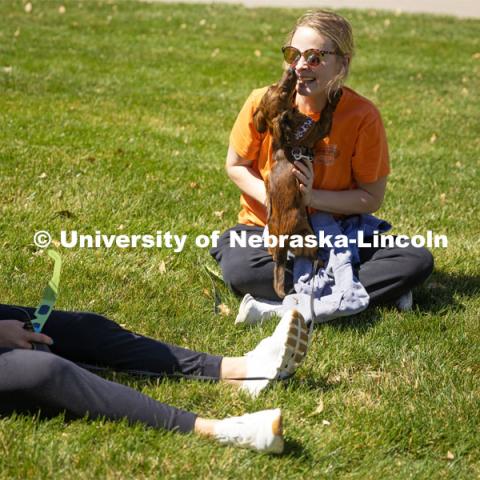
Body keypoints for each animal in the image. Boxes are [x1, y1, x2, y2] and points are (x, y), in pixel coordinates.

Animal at [251, 67, 342, 298]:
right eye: (283, 92)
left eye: (274, 85)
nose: (291, 69)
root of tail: (281, 248)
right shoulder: (319, 128)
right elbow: (327, 112)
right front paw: (335, 95)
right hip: (308, 236)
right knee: (313, 258)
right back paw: (323, 264)